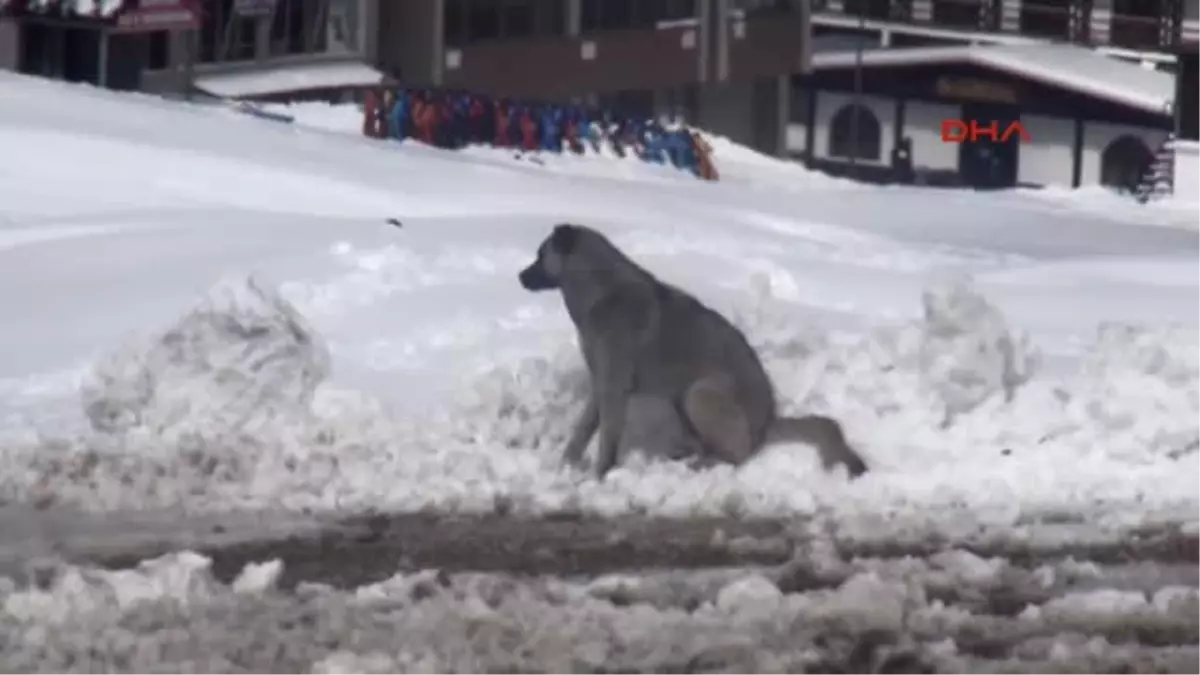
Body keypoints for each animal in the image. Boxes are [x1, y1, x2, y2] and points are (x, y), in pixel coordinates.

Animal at [520, 222, 868, 478]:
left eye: (539, 254)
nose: (520, 276)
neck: (600, 291)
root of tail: (768, 423)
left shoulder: (614, 387)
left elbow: (607, 438)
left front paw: (598, 476)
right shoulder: (600, 384)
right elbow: (582, 430)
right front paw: (566, 465)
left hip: (699, 394)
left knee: (738, 455)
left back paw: (703, 465)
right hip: (682, 401)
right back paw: (685, 457)